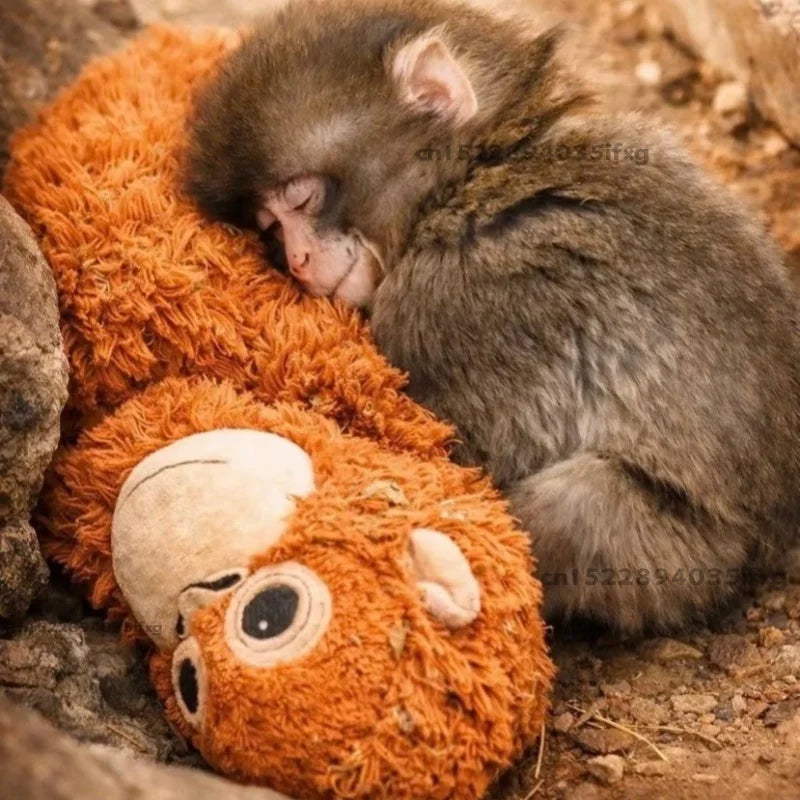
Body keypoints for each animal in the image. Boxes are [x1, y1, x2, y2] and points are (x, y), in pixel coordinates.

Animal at [184, 0, 800, 635]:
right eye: (271, 228)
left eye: (302, 200)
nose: (299, 260)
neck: (474, 179)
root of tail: (770, 541)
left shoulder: (445, 300)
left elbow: (472, 459)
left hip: (680, 556)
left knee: (575, 503)